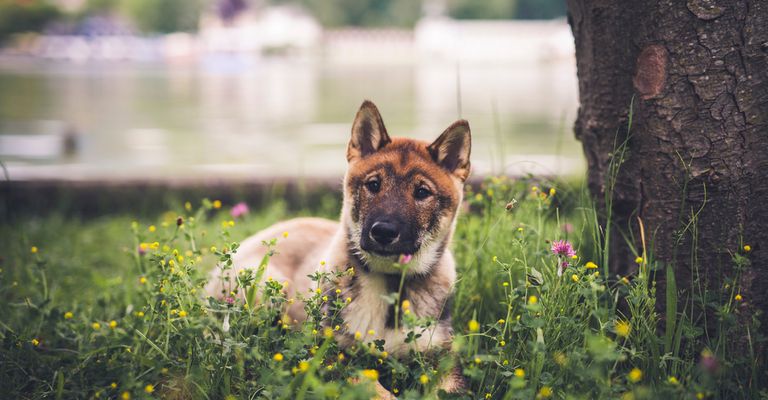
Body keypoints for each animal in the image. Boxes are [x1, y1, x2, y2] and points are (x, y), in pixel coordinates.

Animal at [204, 101, 468, 396]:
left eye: (422, 192)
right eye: (374, 185)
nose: (383, 232)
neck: (390, 286)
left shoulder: (443, 357)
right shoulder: (332, 355)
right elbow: (372, 388)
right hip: (267, 288)